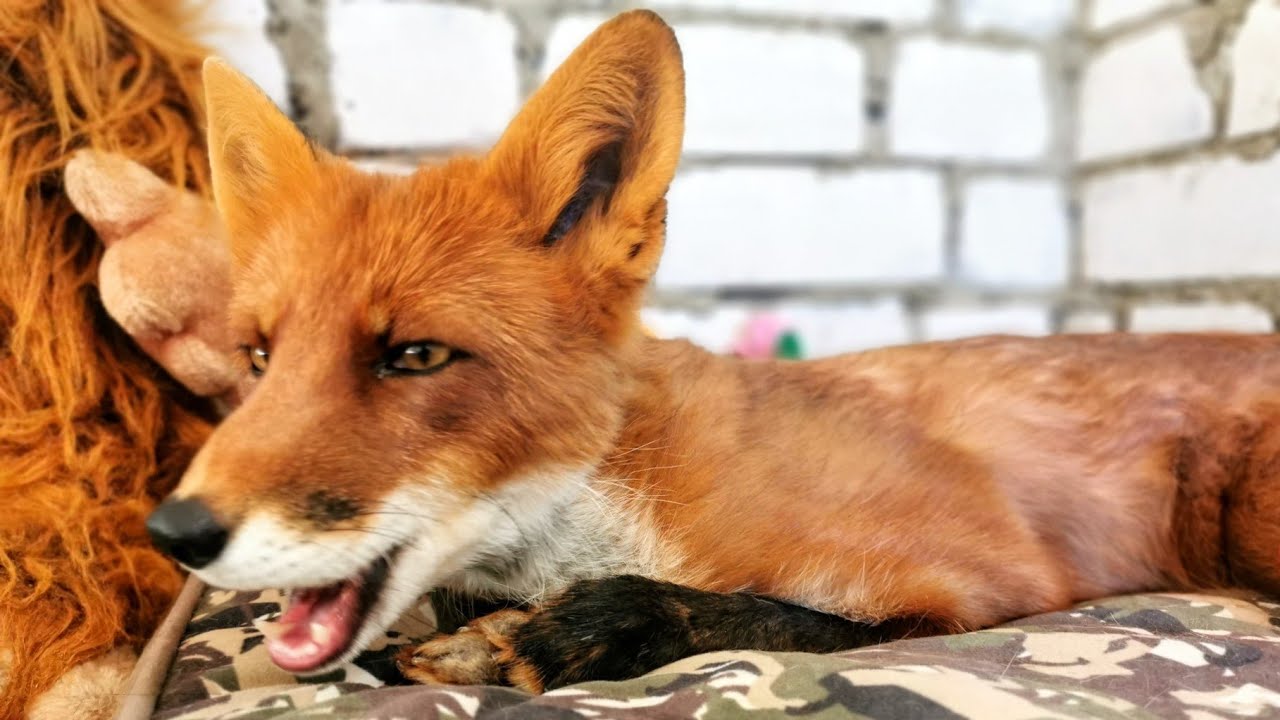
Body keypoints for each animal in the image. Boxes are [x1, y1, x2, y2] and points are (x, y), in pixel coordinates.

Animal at [144, 10, 1280, 693]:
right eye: (257, 358)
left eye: (415, 356)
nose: (173, 532)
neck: (625, 505)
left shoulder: (990, 582)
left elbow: (776, 619)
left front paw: (578, 633)